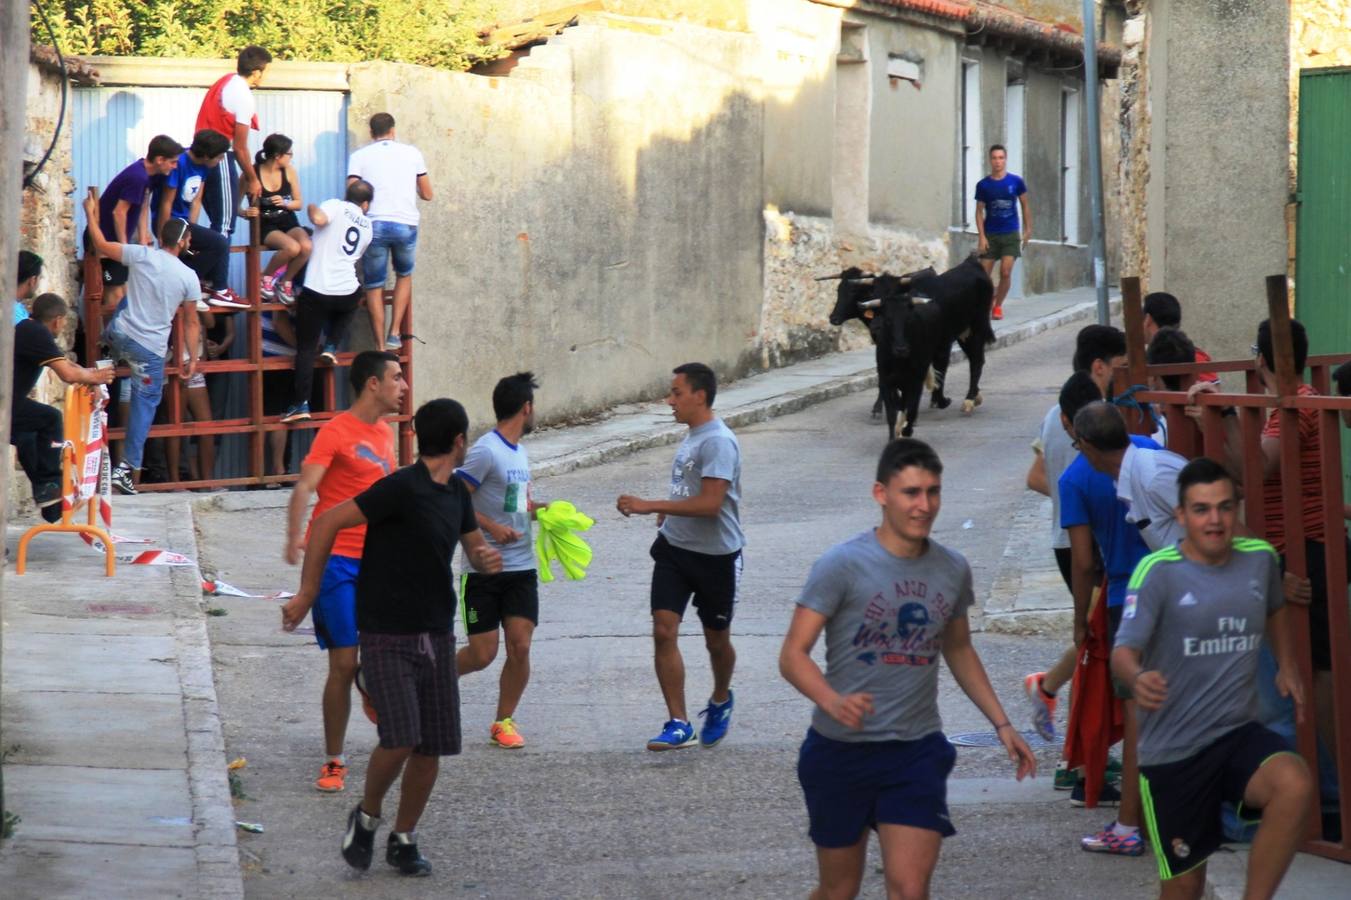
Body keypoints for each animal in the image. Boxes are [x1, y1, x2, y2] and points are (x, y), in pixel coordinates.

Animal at [816, 254, 999, 435]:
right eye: (838, 290)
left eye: (854, 291)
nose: (833, 318)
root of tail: (972, 263)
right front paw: (881, 409)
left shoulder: (940, 345)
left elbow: (938, 371)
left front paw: (933, 402)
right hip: (963, 334)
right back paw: (973, 396)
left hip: (977, 328)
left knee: (976, 361)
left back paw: (969, 400)